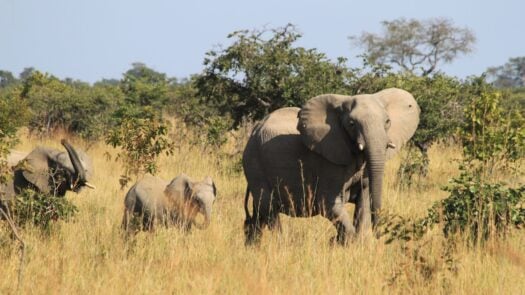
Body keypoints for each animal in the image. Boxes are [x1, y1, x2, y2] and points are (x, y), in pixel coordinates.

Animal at [244, 88, 420, 245]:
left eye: (387, 122)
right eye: (351, 124)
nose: (379, 233)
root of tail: (255, 128)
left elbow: (363, 202)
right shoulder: (328, 162)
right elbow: (329, 205)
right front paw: (340, 242)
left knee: (258, 215)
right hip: (254, 163)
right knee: (269, 209)